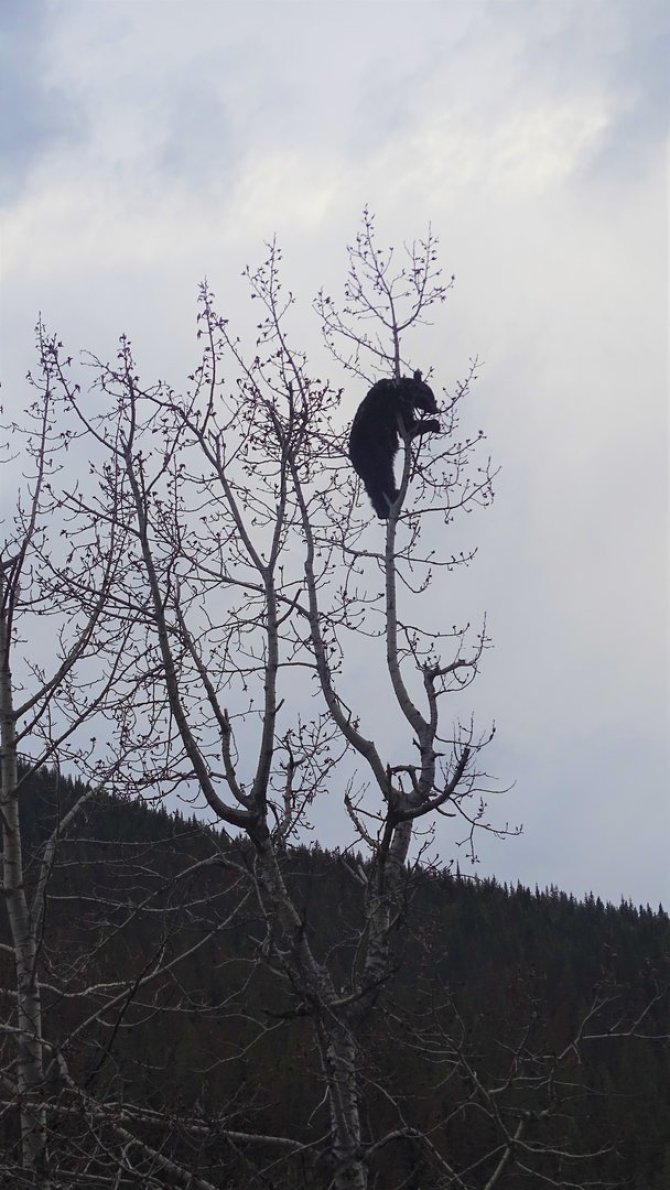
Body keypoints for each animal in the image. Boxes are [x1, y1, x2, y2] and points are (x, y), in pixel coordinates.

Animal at [349, 368, 442, 518]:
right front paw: (435, 424)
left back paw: (383, 510)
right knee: (384, 478)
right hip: (373, 451)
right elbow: (408, 426)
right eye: (430, 397)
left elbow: (409, 428)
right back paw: (393, 496)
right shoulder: (394, 403)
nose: (436, 409)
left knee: (373, 487)